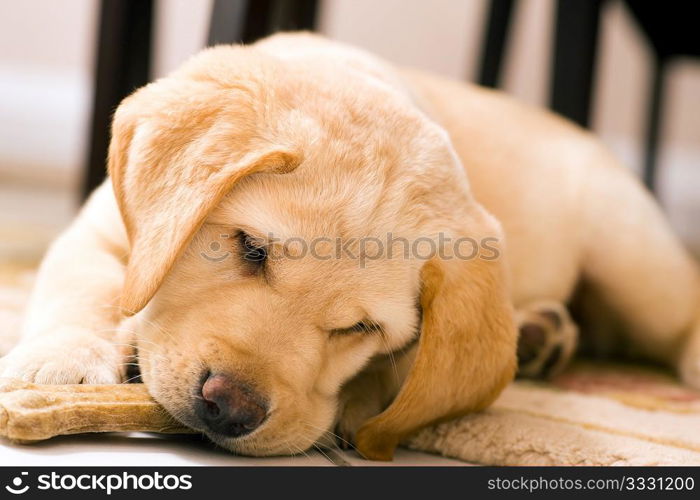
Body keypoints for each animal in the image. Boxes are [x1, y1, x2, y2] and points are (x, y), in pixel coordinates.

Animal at [4, 33, 700, 458]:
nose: (229, 408)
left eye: (361, 328)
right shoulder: (102, 229)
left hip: (630, 251)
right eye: (250, 248)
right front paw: (63, 362)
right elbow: (87, 285)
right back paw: (537, 335)